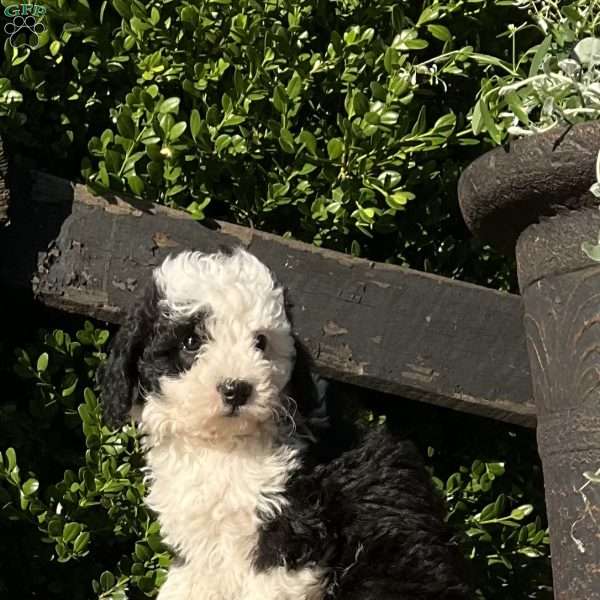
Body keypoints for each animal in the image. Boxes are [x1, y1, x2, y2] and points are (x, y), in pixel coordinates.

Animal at [101, 247, 472, 600]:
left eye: (260, 343)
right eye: (191, 342)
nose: (237, 389)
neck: (223, 445)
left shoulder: (292, 534)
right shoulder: (201, 544)